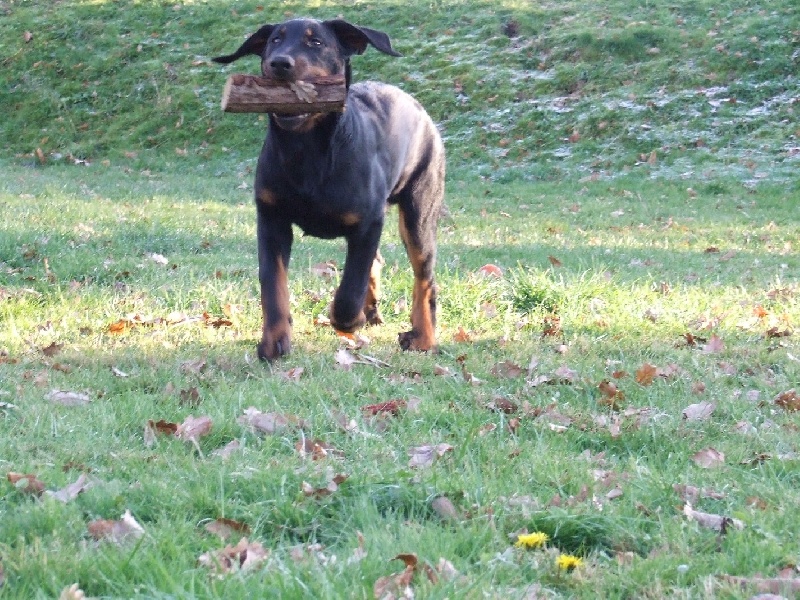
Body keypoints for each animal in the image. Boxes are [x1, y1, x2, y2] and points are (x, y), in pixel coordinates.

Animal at [212, 18, 446, 364]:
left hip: (419, 210)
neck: (305, 150)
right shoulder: (271, 218)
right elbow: (272, 283)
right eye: (274, 40)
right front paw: (274, 342)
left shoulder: (368, 222)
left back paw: (423, 338)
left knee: (424, 276)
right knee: (377, 262)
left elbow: (350, 289)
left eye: (317, 43)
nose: (279, 63)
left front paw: (347, 318)